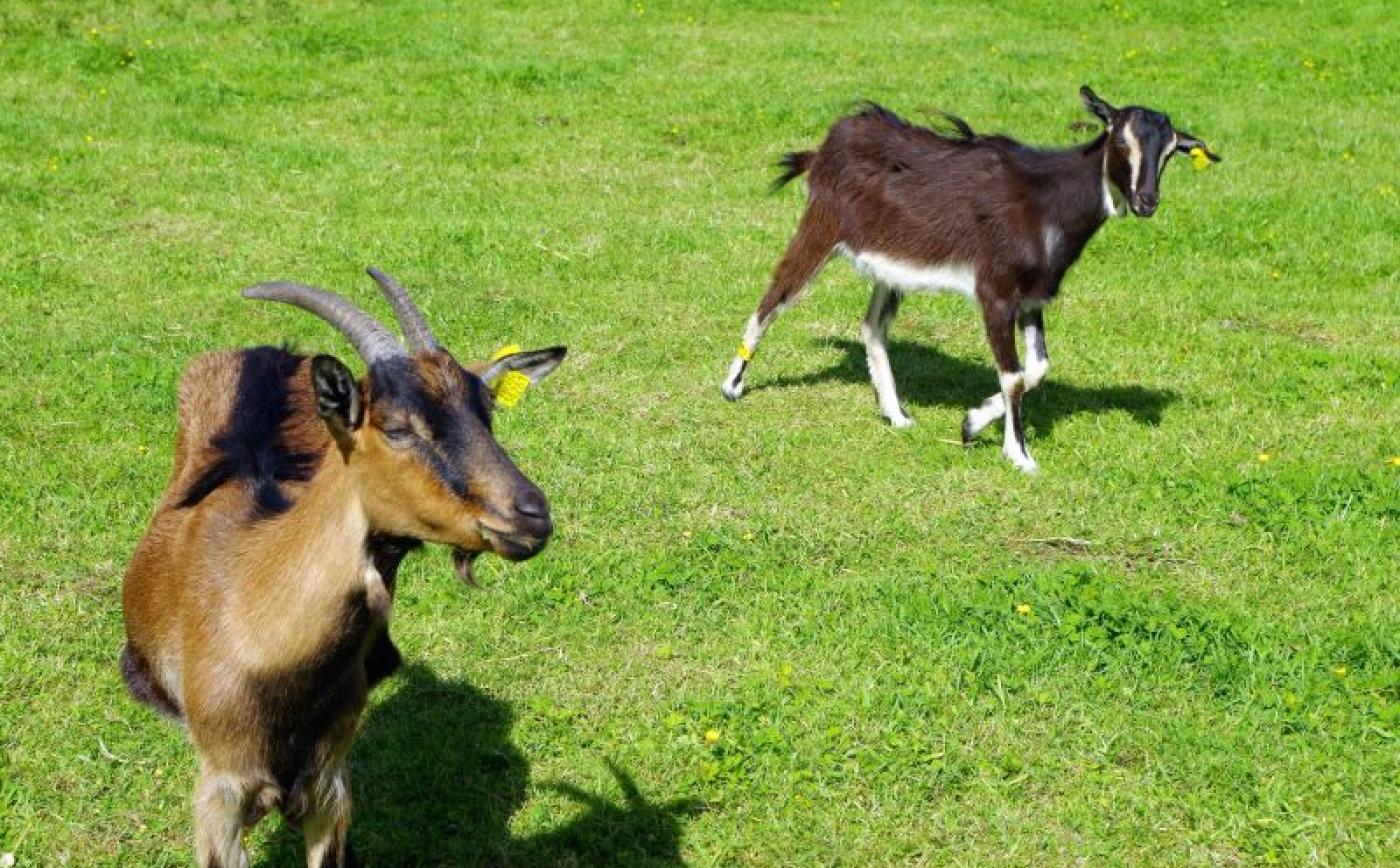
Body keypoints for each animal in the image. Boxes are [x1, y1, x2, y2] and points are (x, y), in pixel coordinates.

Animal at [722, 84, 1215, 470]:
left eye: (1170, 151)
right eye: (1120, 140)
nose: (1147, 201)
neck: (1047, 202)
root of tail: (827, 144)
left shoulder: (1032, 297)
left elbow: (1038, 368)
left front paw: (972, 421)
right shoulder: (994, 291)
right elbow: (1013, 375)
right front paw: (1019, 455)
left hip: (889, 265)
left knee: (872, 326)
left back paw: (896, 415)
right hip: (822, 225)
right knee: (773, 298)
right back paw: (732, 386)